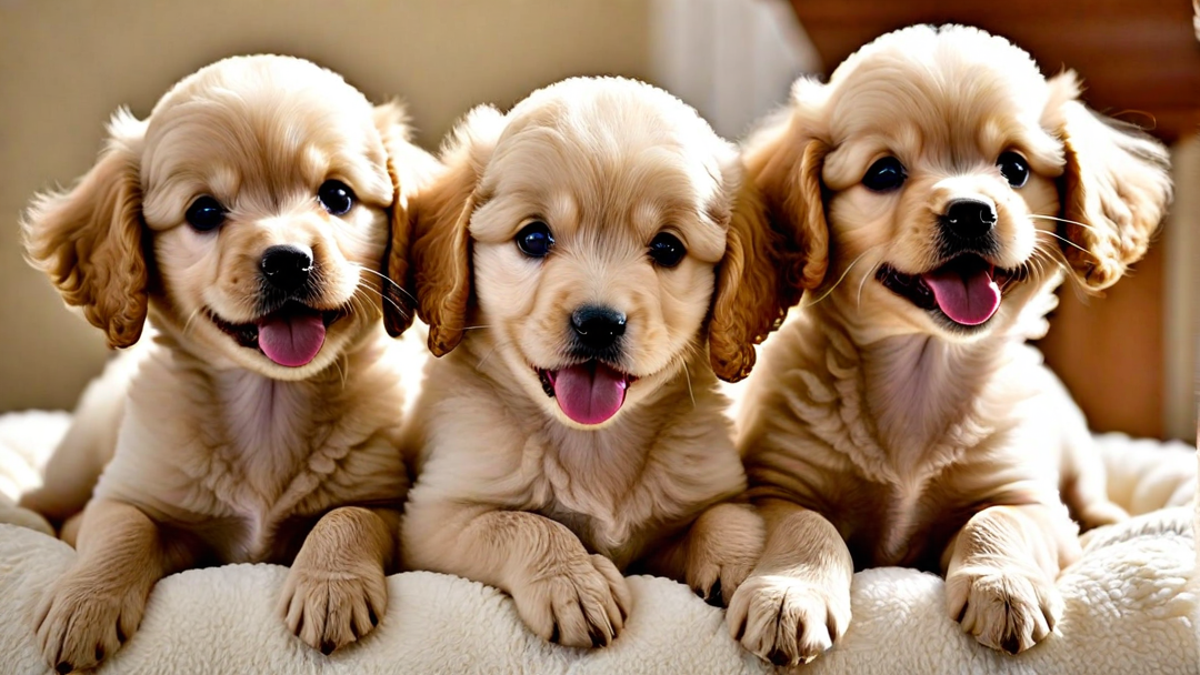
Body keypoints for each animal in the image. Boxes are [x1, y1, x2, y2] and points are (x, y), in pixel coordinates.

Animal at [18, 53, 436, 667]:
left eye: (337, 197)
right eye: (205, 211)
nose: (287, 260)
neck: (268, 403)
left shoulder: (382, 494)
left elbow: (348, 517)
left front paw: (330, 588)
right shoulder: (128, 494)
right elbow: (120, 529)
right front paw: (83, 603)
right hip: (77, 458)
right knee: (41, 499)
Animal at [386, 76, 787, 643]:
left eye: (668, 248)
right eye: (534, 238)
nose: (599, 323)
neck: (593, 443)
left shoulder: (682, 518)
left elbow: (726, 513)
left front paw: (741, 563)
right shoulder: (432, 520)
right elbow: (523, 524)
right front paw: (572, 582)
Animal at [720, 24, 1171, 662]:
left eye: (1014, 167)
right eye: (884, 173)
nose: (971, 213)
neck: (921, 373)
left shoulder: (1028, 496)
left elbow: (997, 521)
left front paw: (1004, 585)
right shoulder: (777, 487)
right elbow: (811, 527)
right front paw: (788, 594)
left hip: (1075, 453)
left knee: (1091, 497)